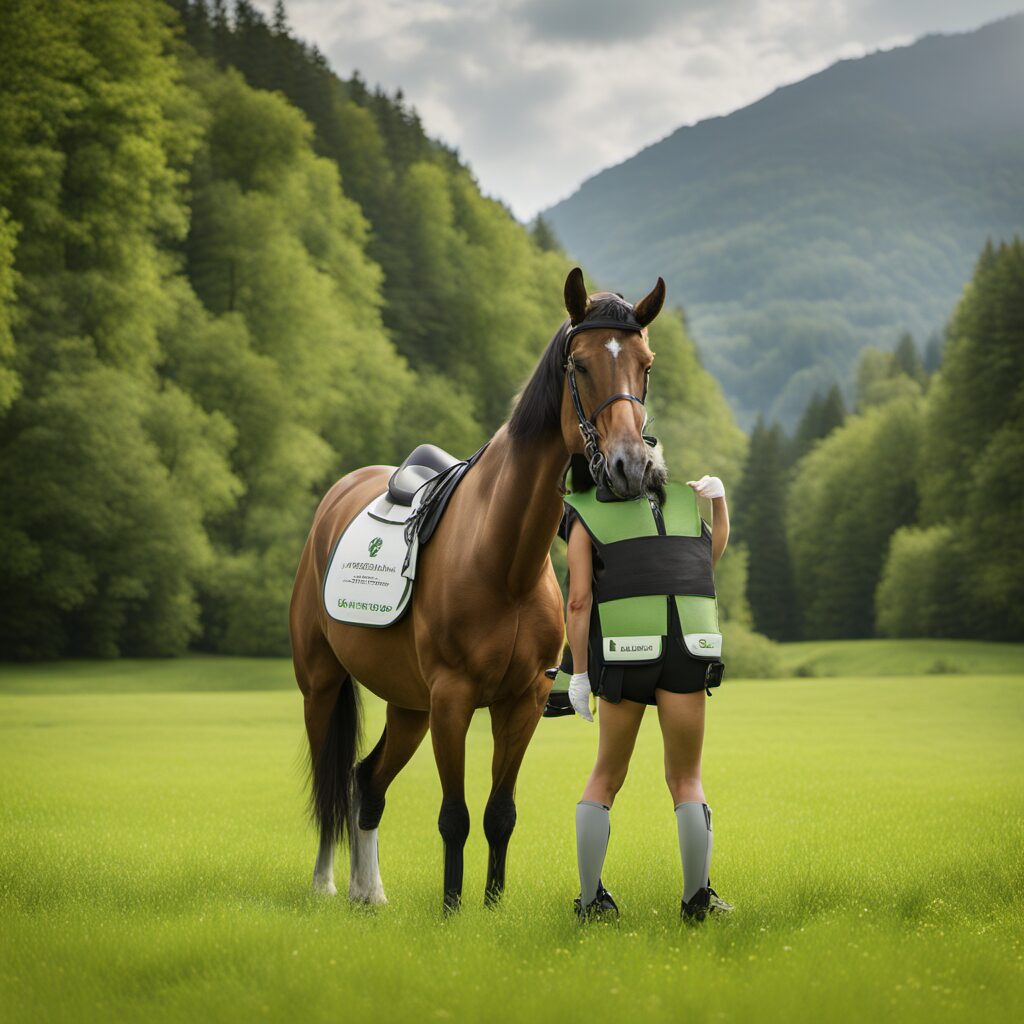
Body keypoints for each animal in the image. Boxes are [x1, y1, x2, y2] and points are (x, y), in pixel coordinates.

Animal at [289, 267, 666, 911]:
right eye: (580, 365)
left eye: (644, 364)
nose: (628, 467)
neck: (503, 560)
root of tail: (334, 500)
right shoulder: (452, 699)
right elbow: (455, 816)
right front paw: (451, 908)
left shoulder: (521, 703)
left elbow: (499, 814)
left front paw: (490, 906)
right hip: (323, 685)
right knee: (331, 782)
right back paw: (327, 884)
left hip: (408, 705)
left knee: (366, 780)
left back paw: (370, 891)